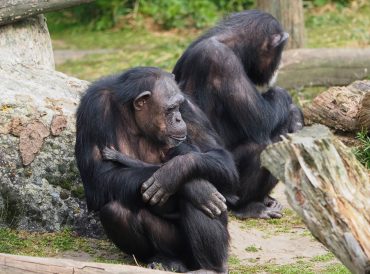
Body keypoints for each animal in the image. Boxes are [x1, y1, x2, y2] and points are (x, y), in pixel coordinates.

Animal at [74, 66, 240, 272]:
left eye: (178, 106)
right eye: (169, 109)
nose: (178, 119)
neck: (133, 117)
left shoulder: (190, 108)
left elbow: (221, 158)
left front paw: (173, 173)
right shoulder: (93, 110)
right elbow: (99, 178)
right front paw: (191, 186)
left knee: (202, 191)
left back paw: (211, 267)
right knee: (114, 211)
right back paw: (165, 259)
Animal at [173, 10, 304, 219]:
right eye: (280, 50)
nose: (280, 63)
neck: (233, 45)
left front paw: (297, 117)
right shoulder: (223, 62)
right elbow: (262, 118)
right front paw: (292, 107)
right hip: (224, 185)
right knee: (262, 145)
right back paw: (248, 207)